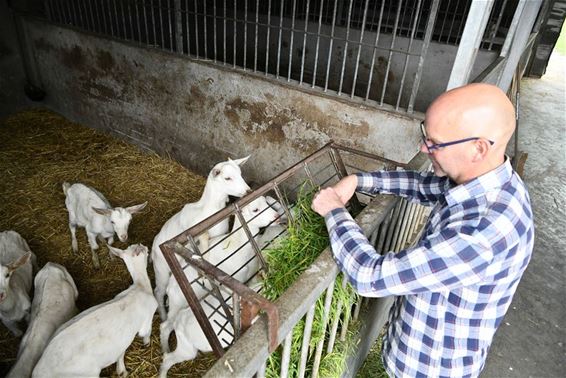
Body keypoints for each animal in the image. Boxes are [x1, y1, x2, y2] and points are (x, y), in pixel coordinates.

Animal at [33, 245, 158, 378]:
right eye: (146, 250)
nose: (146, 247)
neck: (140, 286)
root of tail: (39, 369)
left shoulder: (123, 340)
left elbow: (121, 351)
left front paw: (121, 370)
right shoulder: (147, 320)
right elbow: (146, 333)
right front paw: (147, 344)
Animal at [160, 196, 280, 352]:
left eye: (265, 202)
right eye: (255, 210)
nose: (276, 216)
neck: (236, 245)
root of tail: (170, 287)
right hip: (176, 306)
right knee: (165, 327)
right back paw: (165, 349)